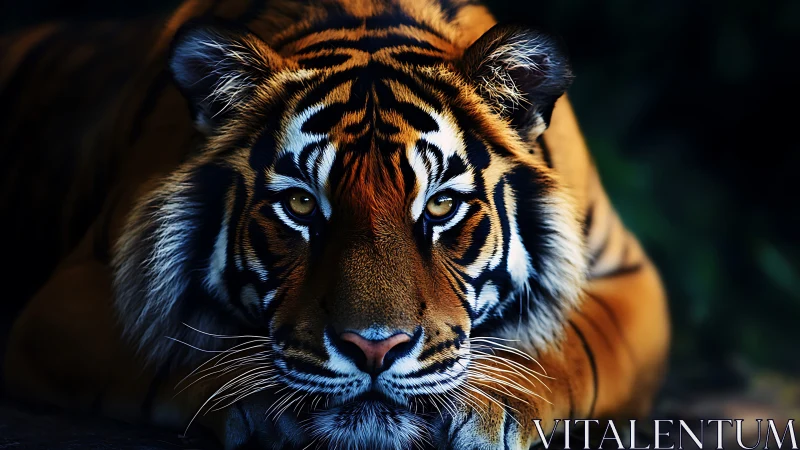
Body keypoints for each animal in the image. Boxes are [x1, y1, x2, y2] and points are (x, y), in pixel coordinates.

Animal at [0, 0, 670, 448]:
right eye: (300, 206)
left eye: (440, 207)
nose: (374, 348)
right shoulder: (75, 299)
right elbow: (181, 345)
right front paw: (266, 402)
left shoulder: (632, 276)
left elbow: (568, 344)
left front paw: (492, 401)